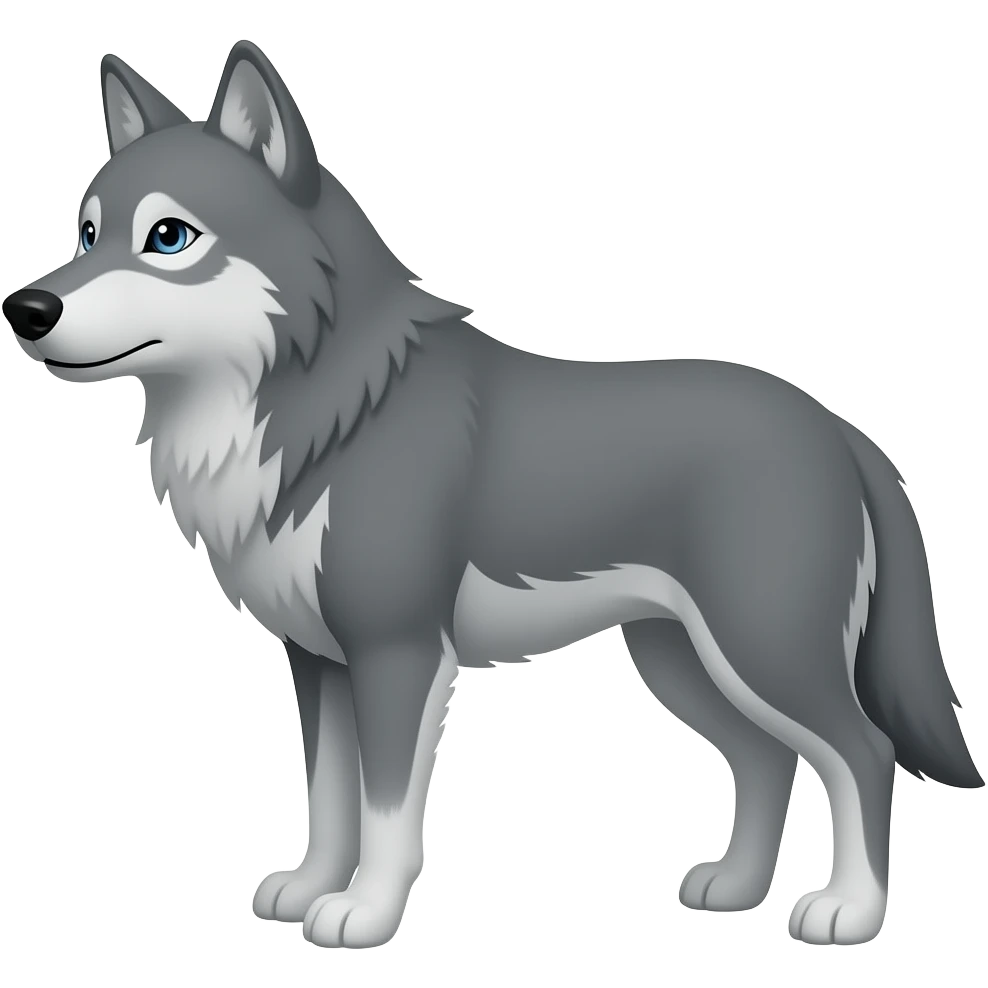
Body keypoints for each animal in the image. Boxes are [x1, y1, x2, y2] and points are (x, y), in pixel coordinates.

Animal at [3, 40, 981, 950]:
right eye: (87, 234)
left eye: (169, 237)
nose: (26, 309)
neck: (330, 410)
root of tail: (840, 429)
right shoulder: (318, 660)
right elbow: (329, 797)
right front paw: (307, 889)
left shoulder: (396, 653)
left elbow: (388, 812)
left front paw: (362, 912)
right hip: (683, 661)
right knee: (769, 761)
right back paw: (735, 888)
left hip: (761, 648)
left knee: (864, 753)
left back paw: (848, 911)